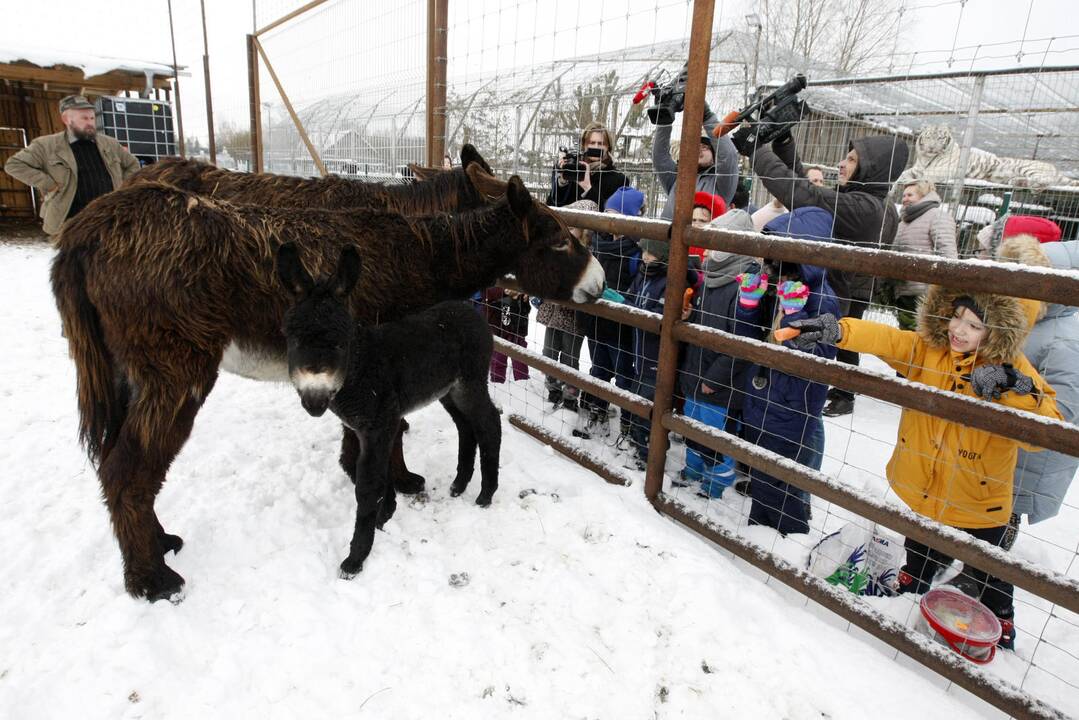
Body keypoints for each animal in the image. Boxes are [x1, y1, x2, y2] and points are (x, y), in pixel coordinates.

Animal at [276, 245, 498, 578]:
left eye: (341, 342)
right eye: (293, 338)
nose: (315, 401)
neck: (360, 369)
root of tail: (473, 311)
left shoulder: (379, 425)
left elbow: (368, 484)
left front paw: (356, 558)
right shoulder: (366, 428)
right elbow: (374, 472)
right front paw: (386, 513)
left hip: (470, 382)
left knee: (489, 423)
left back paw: (486, 494)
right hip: (448, 391)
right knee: (466, 427)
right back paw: (459, 485)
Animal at [897, 124, 1074, 189]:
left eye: (940, 138)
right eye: (928, 137)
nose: (932, 147)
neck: (927, 158)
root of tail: (1056, 169)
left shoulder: (938, 171)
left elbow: (922, 177)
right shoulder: (917, 168)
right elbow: (904, 173)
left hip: (1028, 167)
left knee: (1045, 180)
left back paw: (1028, 183)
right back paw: (1017, 181)